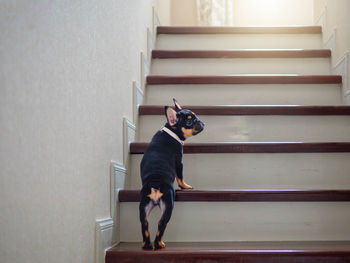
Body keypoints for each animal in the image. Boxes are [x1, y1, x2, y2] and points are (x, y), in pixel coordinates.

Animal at [139, 99, 205, 252]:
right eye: (189, 121)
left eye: (195, 116)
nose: (201, 122)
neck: (171, 131)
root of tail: (155, 184)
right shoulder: (179, 161)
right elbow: (180, 177)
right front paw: (185, 186)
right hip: (168, 205)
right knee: (161, 224)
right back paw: (159, 244)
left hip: (144, 206)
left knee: (144, 224)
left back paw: (146, 245)